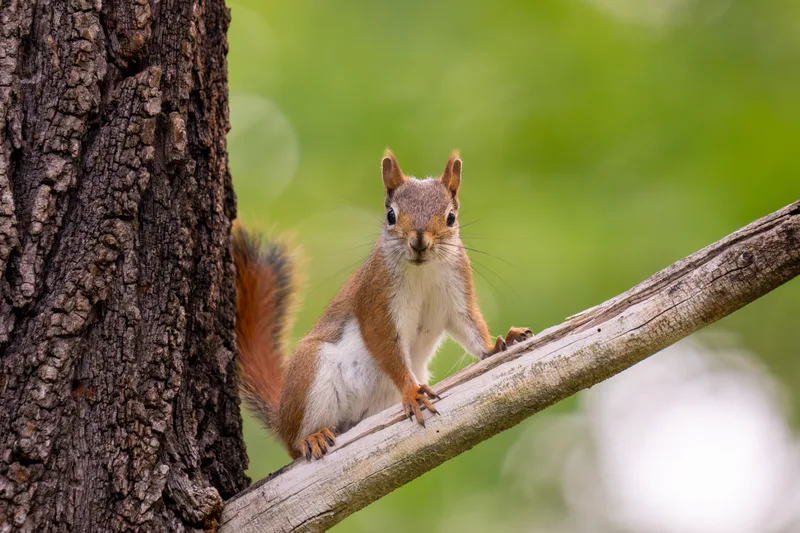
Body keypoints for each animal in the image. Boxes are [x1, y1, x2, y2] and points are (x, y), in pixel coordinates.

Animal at [232, 150, 532, 460]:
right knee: (294, 444)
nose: (419, 241)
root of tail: (281, 417)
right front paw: (412, 391)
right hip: (309, 374)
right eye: (391, 215)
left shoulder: (458, 294)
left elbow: (469, 327)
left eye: (451, 217)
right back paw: (311, 438)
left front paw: (498, 343)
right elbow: (384, 344)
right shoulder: (375, 299)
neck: (422, 272)